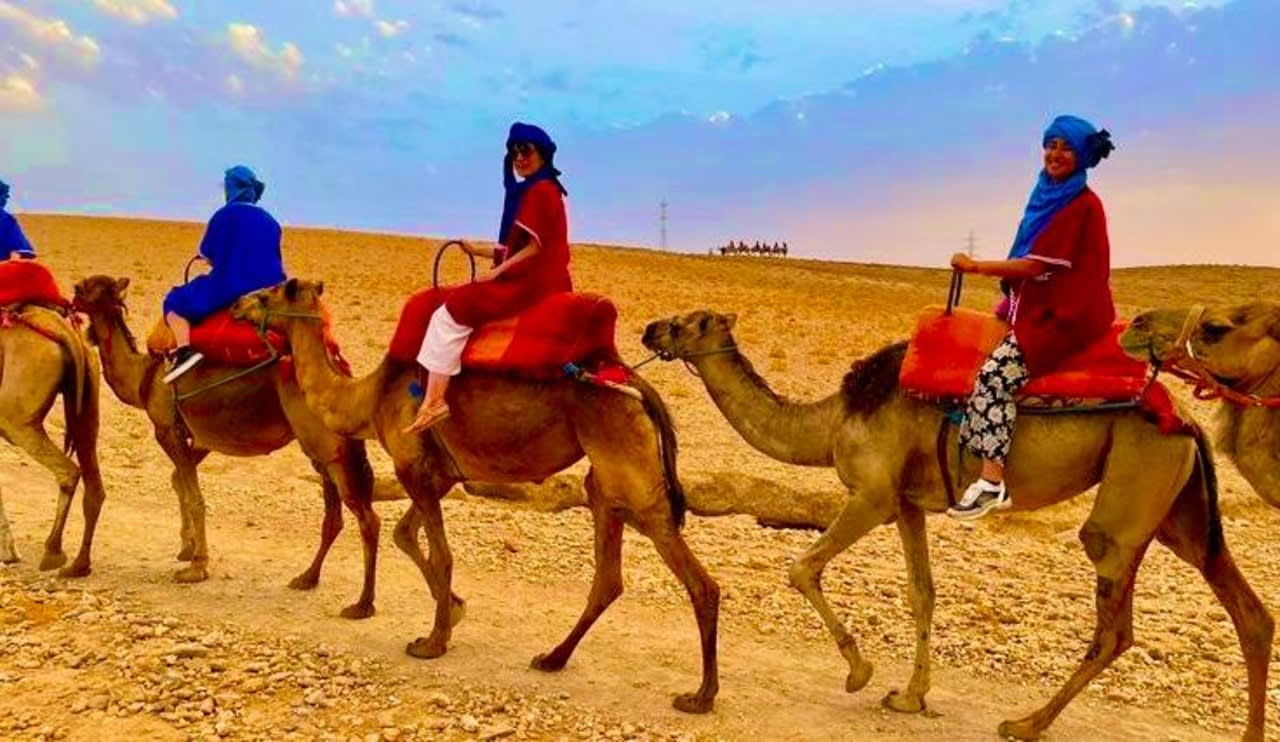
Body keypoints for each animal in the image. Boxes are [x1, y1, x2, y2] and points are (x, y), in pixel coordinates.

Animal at [0, 304, 104, 575]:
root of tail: (68, 335)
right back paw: (79, 565)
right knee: (95, 486)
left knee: (69, 471)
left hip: (16, 420)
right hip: (88, 409)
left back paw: (53, 552)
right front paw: (10, 553)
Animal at [71, 276, 381, 619]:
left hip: (325, 445)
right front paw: (187, 547)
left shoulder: (167, 430)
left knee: (366, 518)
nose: (70, 297)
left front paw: (196, 567)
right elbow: (179, 482)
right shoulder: (200, 437)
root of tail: (341, 374)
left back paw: (362, 604)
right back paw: (307, 578)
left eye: (84, 288)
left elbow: (194, 496)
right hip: (323, 449)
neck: (144, 377)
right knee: (334, 516)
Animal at [228, 279, 720, 714]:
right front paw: (454, 609)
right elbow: (406, 536)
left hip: (632, 472)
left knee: (700, 583)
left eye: (267, 294)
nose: (235, 306)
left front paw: (430, 640)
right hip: (606, 484)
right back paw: (552, 658)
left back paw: (700, 696)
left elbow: (441, 553)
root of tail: (638, 386)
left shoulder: (412, 466)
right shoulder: (441, 472)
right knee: (608, 578)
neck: (369, 397)